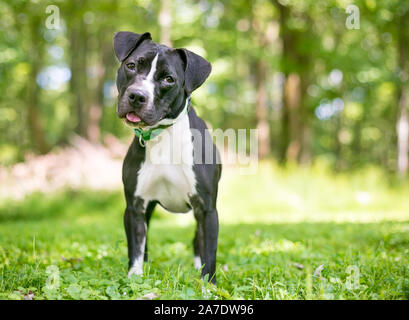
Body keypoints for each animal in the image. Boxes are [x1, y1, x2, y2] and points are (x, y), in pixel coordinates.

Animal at [112, 31, 220, 284]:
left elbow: (209, 251)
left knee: (197, 243)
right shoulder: (135, 206)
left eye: (168, 79)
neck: (162, 136)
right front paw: (134, 277)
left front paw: (208, 285)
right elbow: (136, 246)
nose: (137, 96)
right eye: (131, 66)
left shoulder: (207, 209)